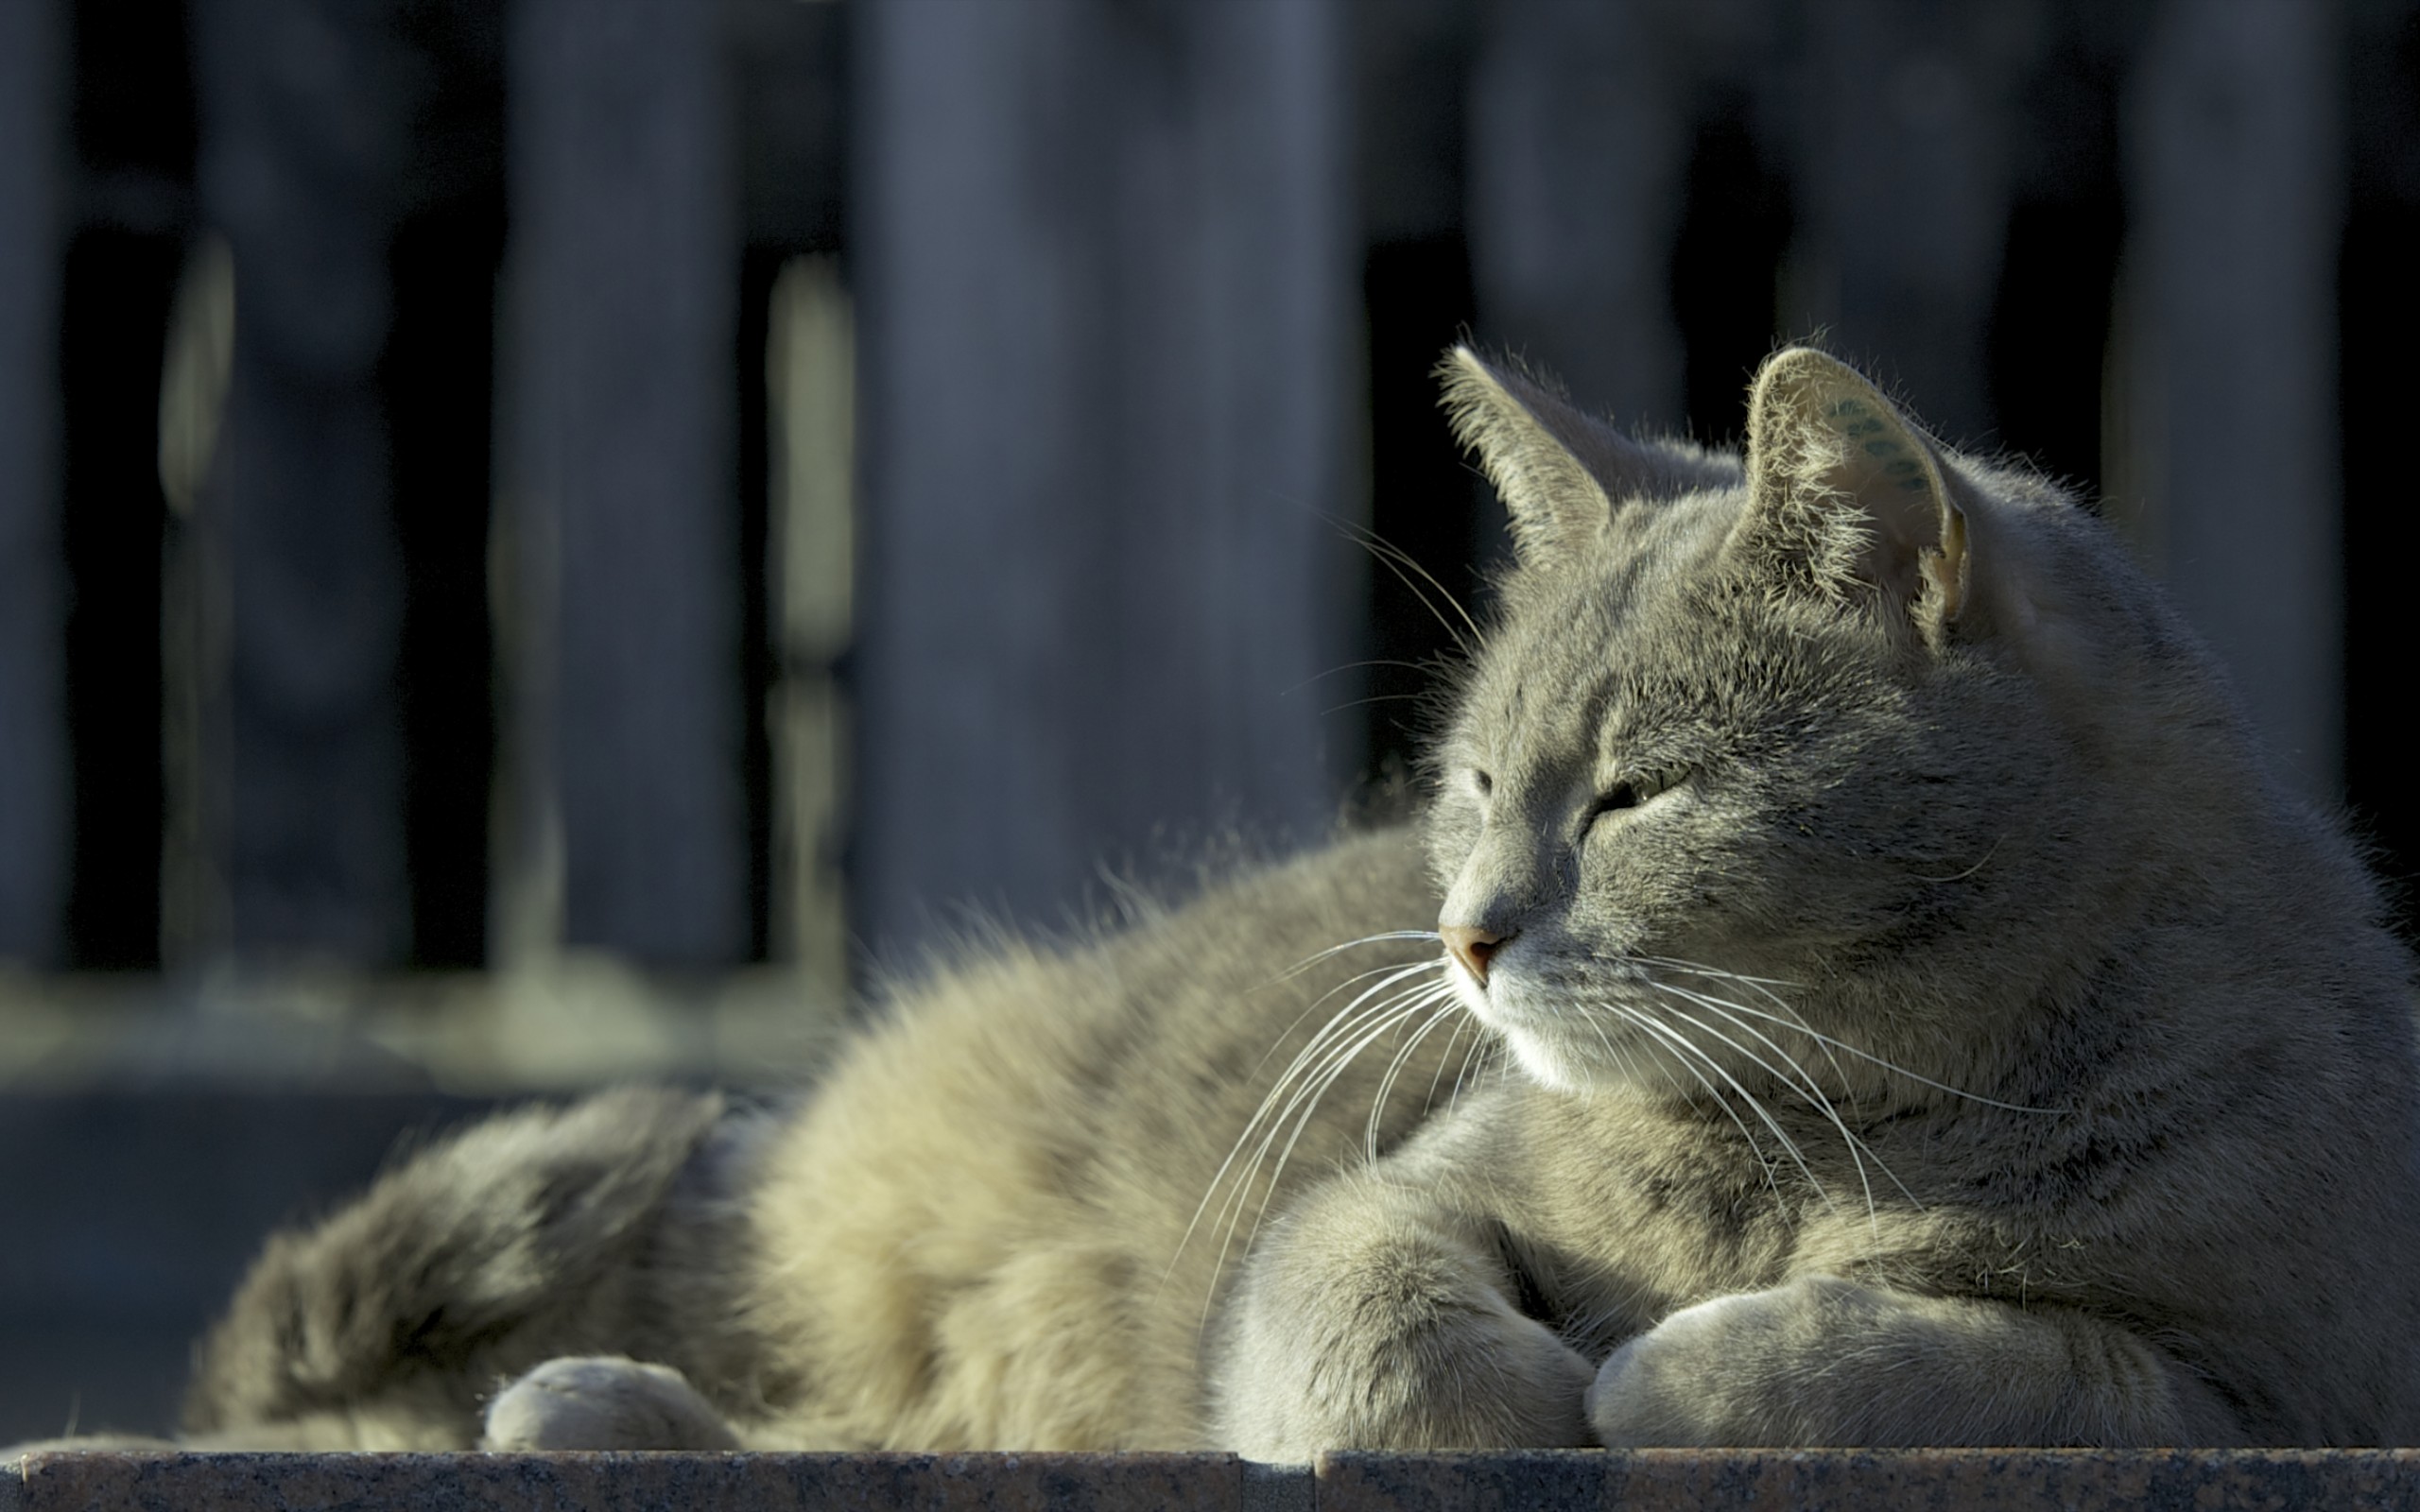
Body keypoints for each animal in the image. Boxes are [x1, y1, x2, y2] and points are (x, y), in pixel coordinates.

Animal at [38, 340, 2420, 1452]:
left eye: (1632, 794)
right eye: (1470, 782)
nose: (1466, 927)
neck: (1820, 1123)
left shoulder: (2280, 1377)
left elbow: (1931, 1349)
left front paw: (1678, 1364)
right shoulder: (1371, 1197)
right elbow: (1375, 1319)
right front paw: (1523, 1387)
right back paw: (581, 1406)